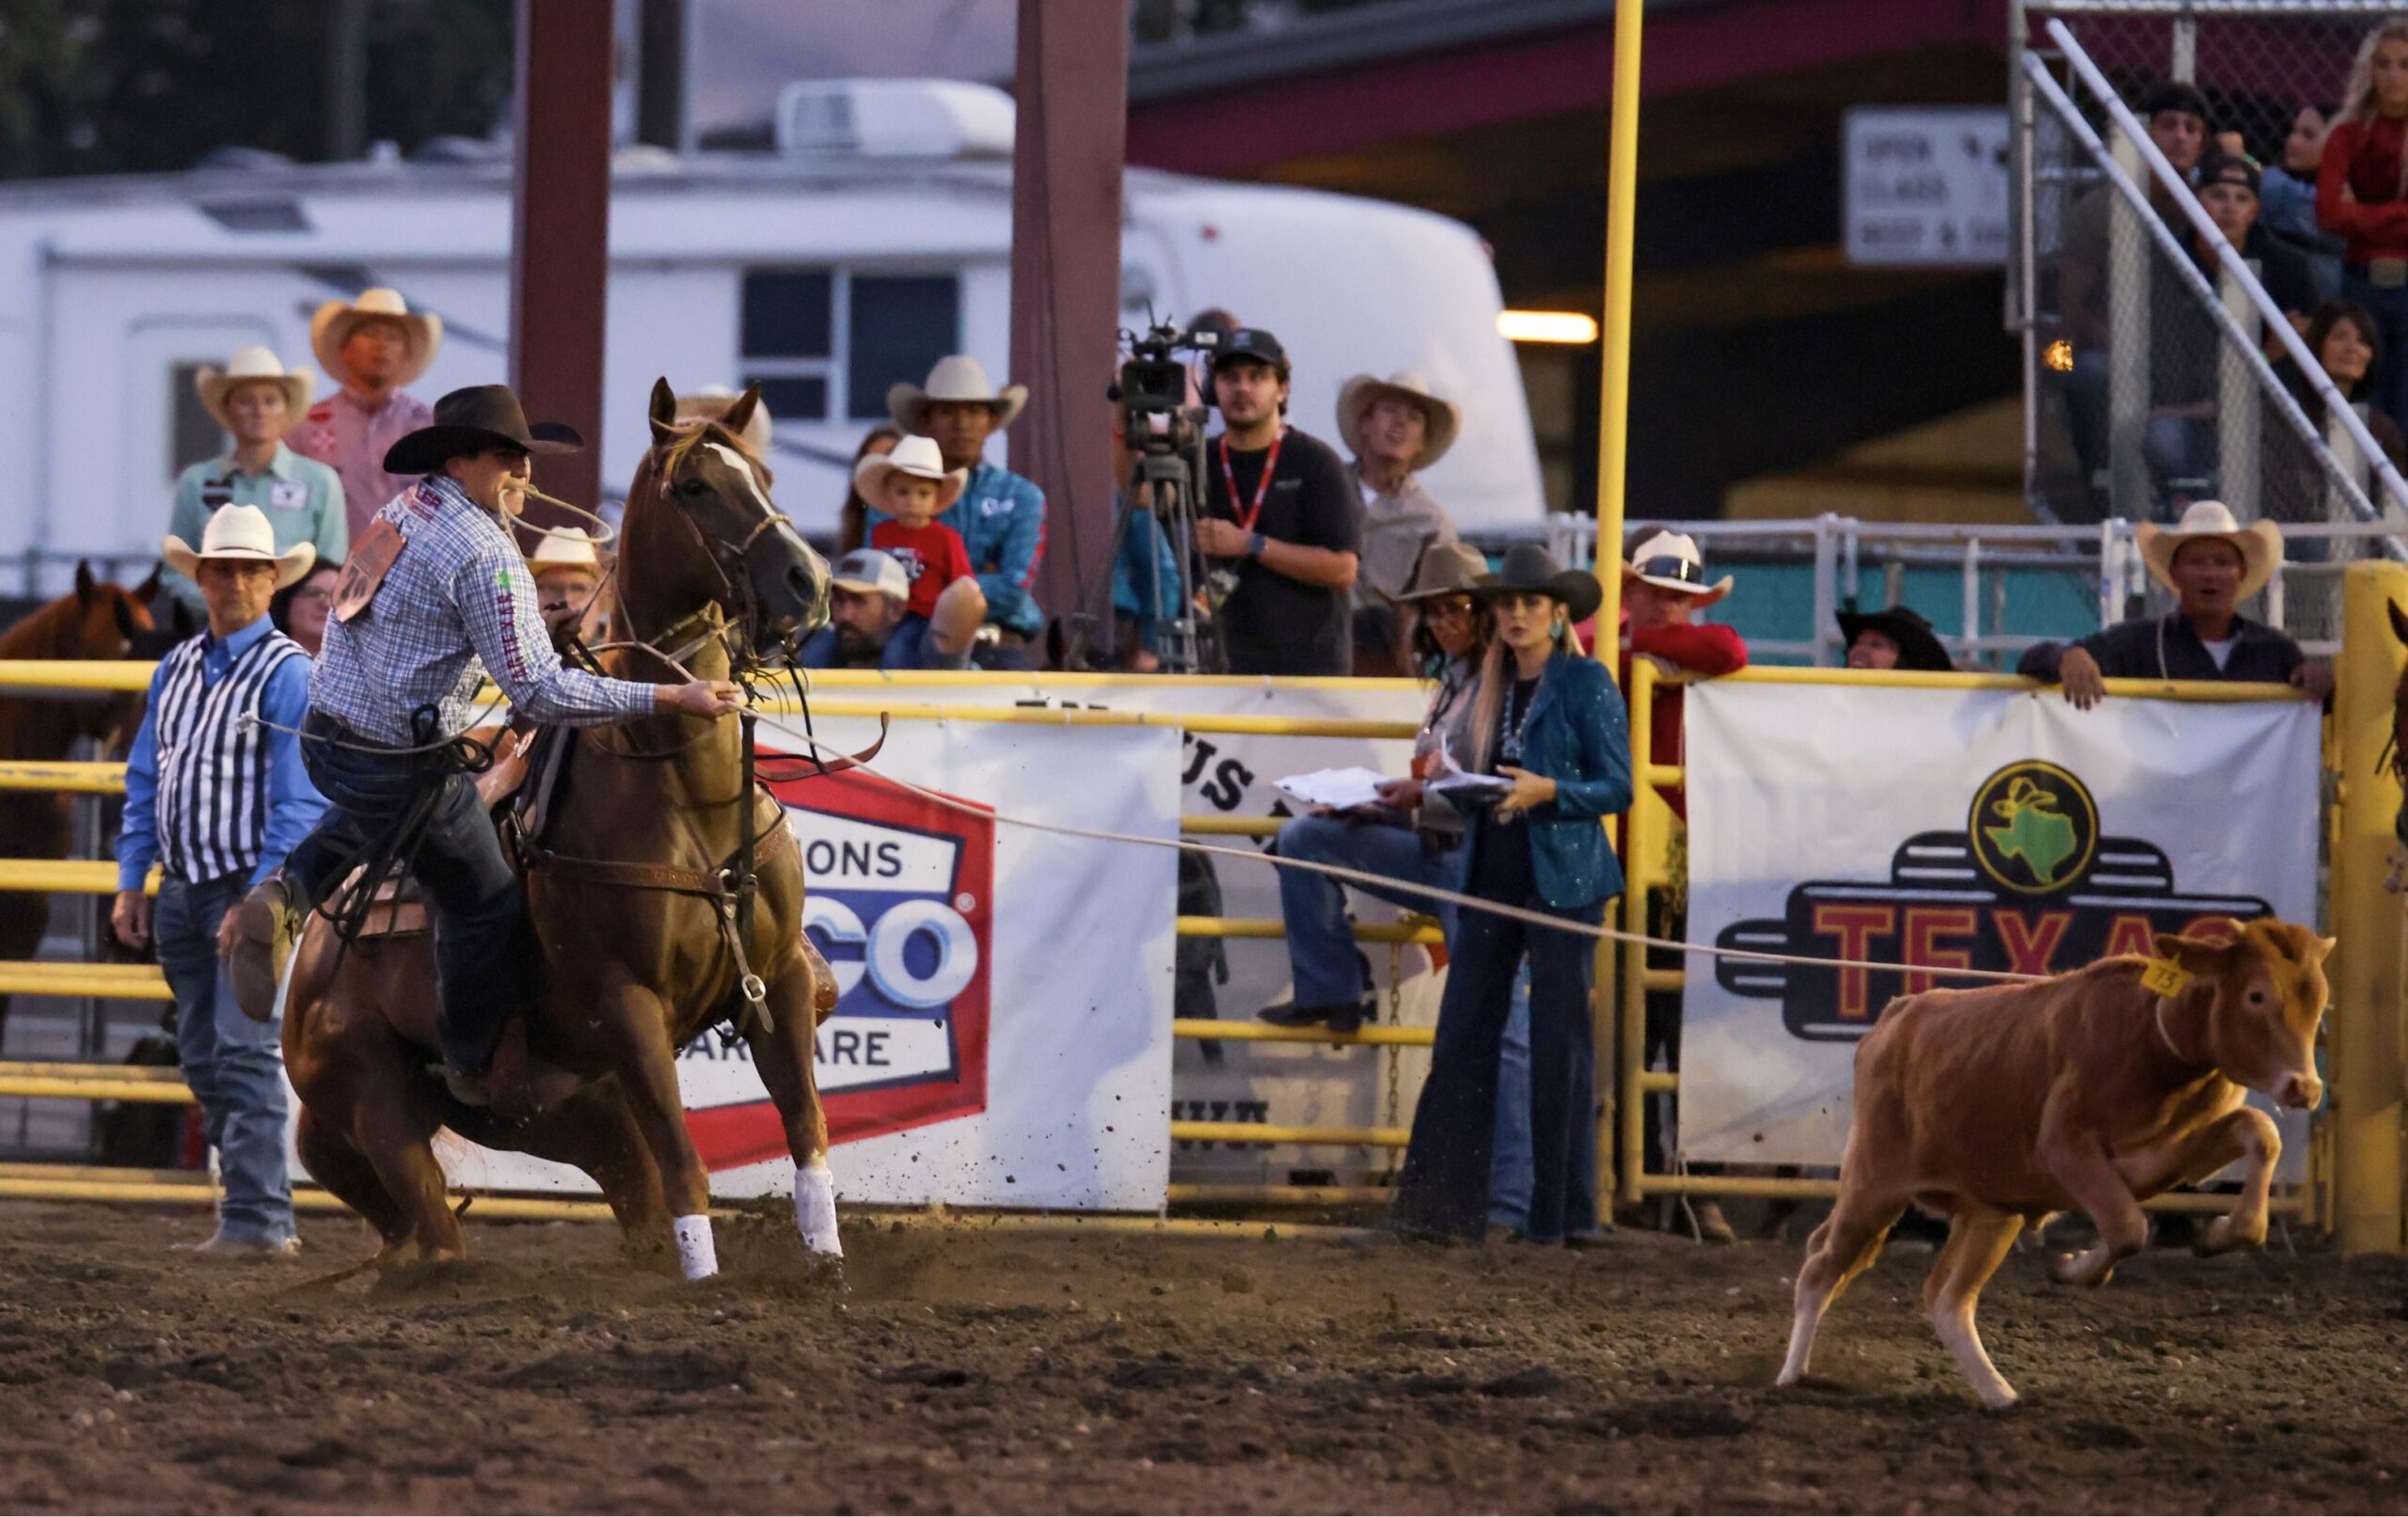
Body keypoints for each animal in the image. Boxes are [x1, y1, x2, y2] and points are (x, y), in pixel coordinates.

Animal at [285, 375, 837, 1281]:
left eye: (763, 475)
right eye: (694, 487)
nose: (808, 581)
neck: (681, 789)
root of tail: (308, 973)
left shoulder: (782, 977)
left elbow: (806, 1128)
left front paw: (827, 1264)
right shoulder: (630, 1006)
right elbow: (686, 1157)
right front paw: (704, 1284)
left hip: (572, 1110)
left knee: (627, 1194)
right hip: (377, 1102)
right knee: (438, 1236)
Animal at [1782, 914, 2321, 1415]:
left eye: (2319, 1002)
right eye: (2256, 995)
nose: (2306, 1087)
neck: (2152, 1038)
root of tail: (1894, 1018)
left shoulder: (2171, 1155)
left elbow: (2259, 1132)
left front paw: (2220, 1234)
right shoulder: (2066, 1149)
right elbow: (2127, 1228)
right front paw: (2071, 1266)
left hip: (1989, 1213)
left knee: (1947, 1299)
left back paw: (1999, 1394)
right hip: (1874, 1185)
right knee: (1819, 1265)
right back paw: (1791, 1376)